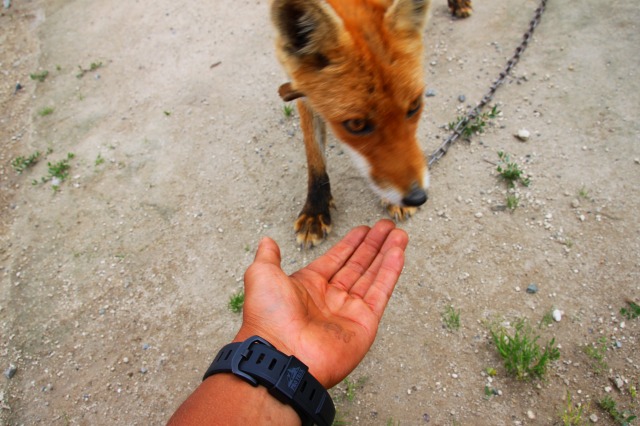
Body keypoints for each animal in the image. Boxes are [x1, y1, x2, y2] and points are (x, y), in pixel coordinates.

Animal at [271, 0, 472, 247]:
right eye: (356, 124)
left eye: (414, 106)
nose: (417, 197)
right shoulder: (301, 84)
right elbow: (314, 155)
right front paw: (315, 210)